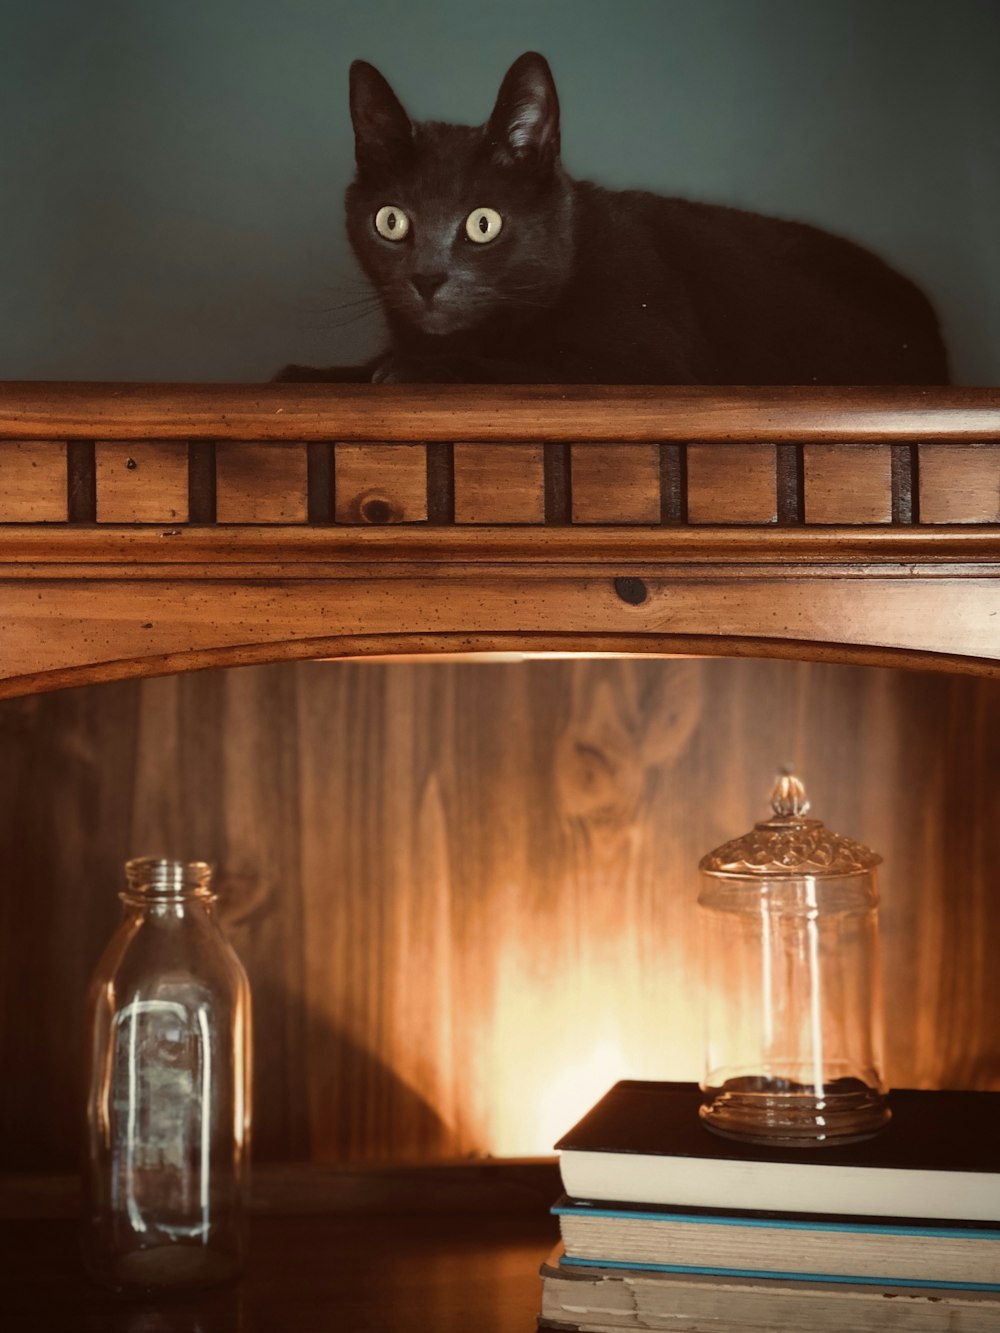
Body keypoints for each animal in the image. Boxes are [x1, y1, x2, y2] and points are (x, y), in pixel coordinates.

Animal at [280, 51, 949, 383]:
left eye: (482, 223)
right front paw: (315, 372)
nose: (426, 278)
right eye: (391, 222)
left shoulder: (648, 364)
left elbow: (531, 369)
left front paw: (412, 369)